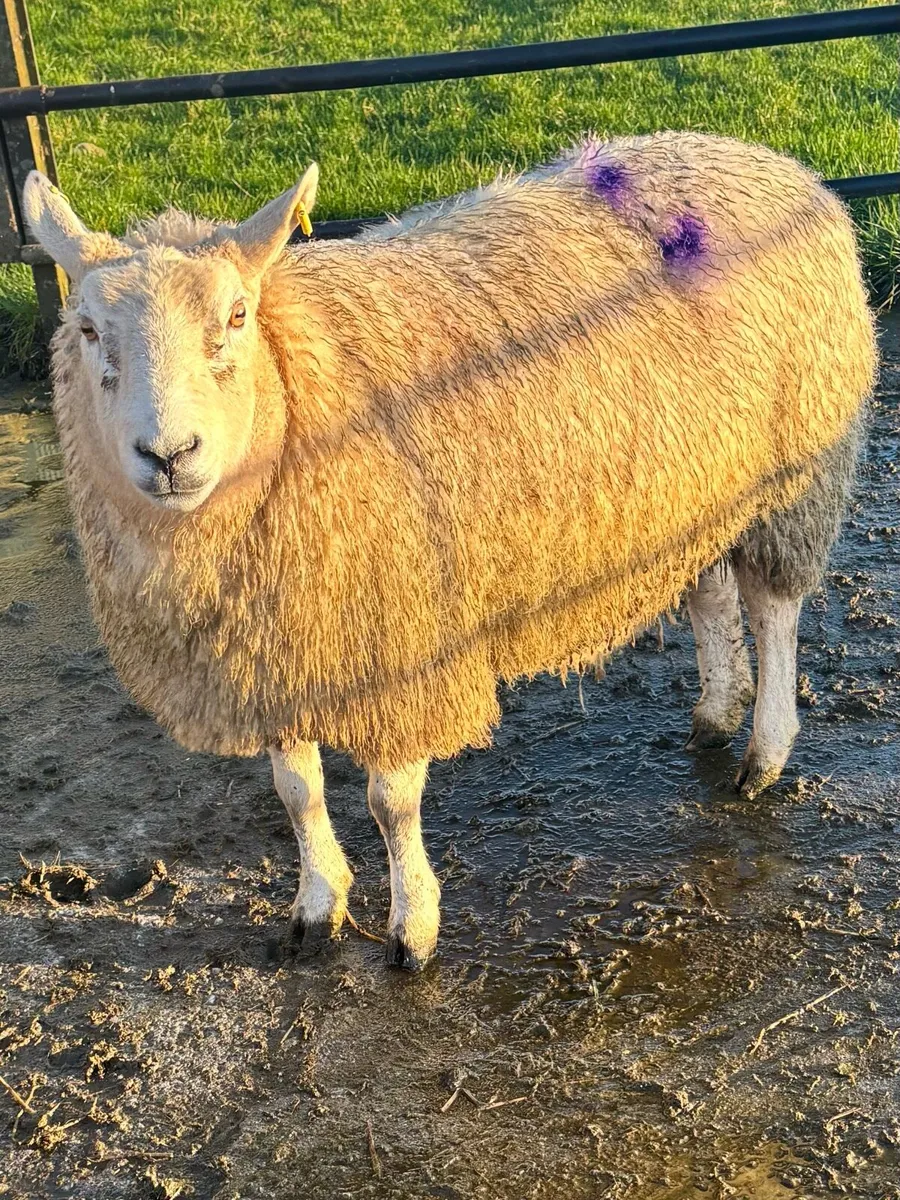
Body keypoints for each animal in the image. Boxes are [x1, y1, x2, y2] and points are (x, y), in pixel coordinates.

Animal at [24, 131, 875, 969]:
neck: (301, 387)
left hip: (791, 472)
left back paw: (764, 753)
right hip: (695, 486)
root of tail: (776, 163)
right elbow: (297, 793)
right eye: (88, 330)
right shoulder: (279, 647)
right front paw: (317, 906)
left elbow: (389, 804)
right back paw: (715, 708)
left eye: (235, 316)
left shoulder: (406, 637)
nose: (169, 455)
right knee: (708, 591)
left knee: (773, 610)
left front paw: (413, 928)